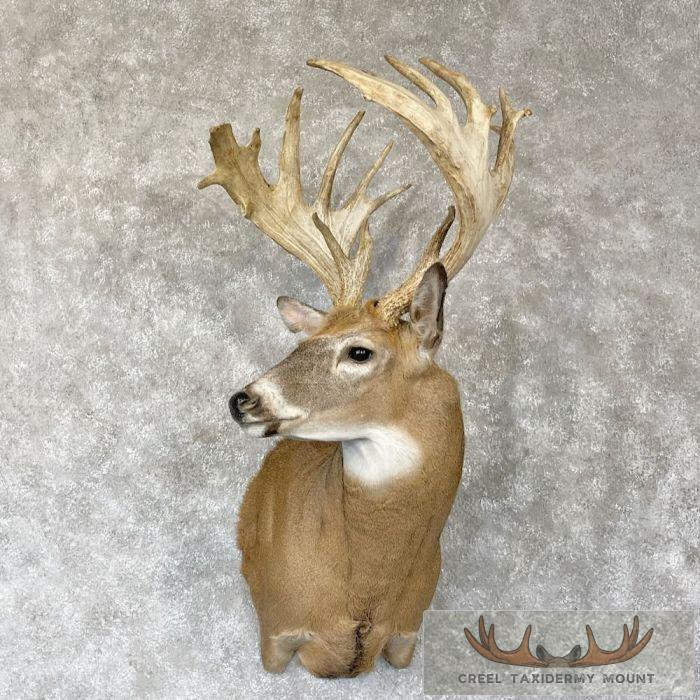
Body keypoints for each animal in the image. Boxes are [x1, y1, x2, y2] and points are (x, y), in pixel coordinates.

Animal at [198, 56, 530, 678]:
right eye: (304, 340)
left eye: (359, 351)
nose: (244, 399)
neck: (364, 593)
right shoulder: (275, 630)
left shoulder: (408, 634)